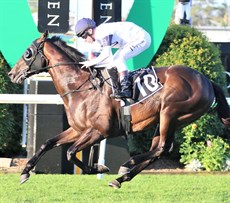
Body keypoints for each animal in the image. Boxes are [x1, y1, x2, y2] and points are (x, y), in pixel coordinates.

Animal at [8, 31, 229, 189]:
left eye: (27, 52)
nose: (11, 73)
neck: (81, 87)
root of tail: (207, 80)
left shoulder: (99, 131)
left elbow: (70, 152)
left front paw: (97, 167)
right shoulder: (78, 129)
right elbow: (48, 143)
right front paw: (25, 172)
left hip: (170, 112)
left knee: (161, 148)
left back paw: (127, 164)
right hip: (167, 120)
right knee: (158, 150)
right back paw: (122, 178)